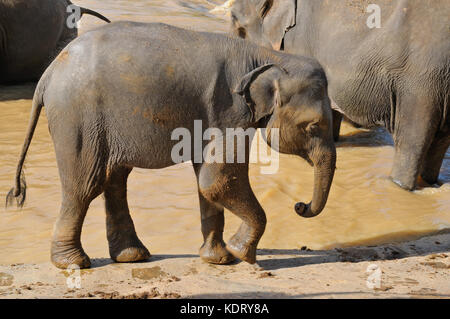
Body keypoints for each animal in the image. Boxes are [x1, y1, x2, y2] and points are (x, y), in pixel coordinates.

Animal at [7, 21, 336, 268]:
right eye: (313, 126)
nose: (300, 205)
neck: (268, 56)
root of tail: (48, 73)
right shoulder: (229, 111)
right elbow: (217, 180)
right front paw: (241, 254)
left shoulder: (213, 118)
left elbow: (207, 180)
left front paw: (220, 259)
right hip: (78, 117)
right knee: (86, 184)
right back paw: (74, 263)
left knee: (115, 180)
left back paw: (132, 257)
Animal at [230, 0, 448, 190]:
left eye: (240, 30)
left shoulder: (298, 43)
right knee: (439, 143)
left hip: (419, 85)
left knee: (412, 143)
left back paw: (400, 185)